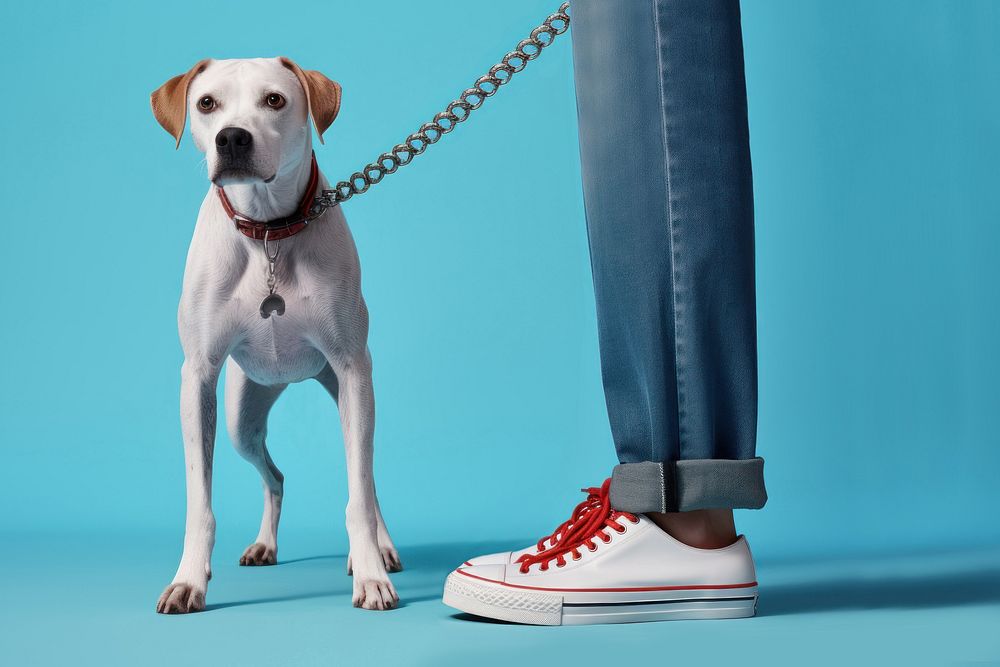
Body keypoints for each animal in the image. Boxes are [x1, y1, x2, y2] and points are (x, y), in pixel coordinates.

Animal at [150, 58, 400, 616]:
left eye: (275, 100)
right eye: (206, 103)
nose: (232, 138)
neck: (268, 230)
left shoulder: (352, 369)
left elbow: (356, 495)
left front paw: (370, 575)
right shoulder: (199, 377)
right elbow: (200, 503)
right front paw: (188, 580)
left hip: (352, 394)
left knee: (366, 480)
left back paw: (380, 548)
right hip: (242, 417)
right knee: (276, 477)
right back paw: (265, 544)